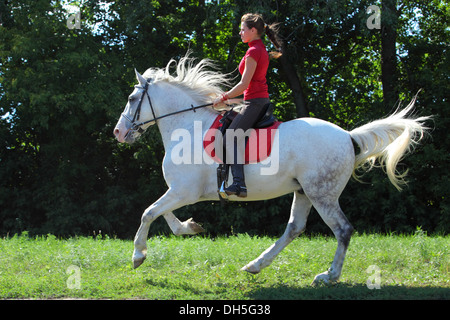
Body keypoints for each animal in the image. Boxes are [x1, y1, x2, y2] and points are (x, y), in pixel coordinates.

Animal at [112, 55, 428, 284]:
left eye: (131, 99)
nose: (118, 132)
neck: (187, 127)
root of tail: (348, 137)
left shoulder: (184, 191)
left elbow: (148, 212)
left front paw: (138, 255)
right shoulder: (180, 191)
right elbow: (161, 213)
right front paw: (189, 227)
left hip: (322, 193)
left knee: (343, 229)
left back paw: (329, 276)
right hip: (304, 191)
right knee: (295, 228)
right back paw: (255, 265)